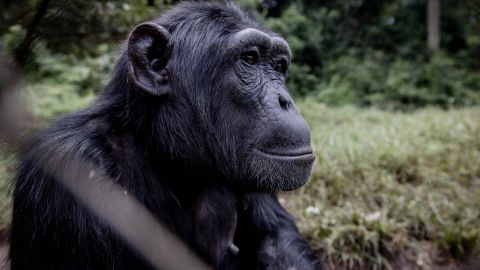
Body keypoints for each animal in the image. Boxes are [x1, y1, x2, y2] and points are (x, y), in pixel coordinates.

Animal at [8, 2, 322, 270]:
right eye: (249, 58)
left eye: (278, 67)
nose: (285, 100)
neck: (167, 157)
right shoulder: (69, 169)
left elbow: (275, 237)